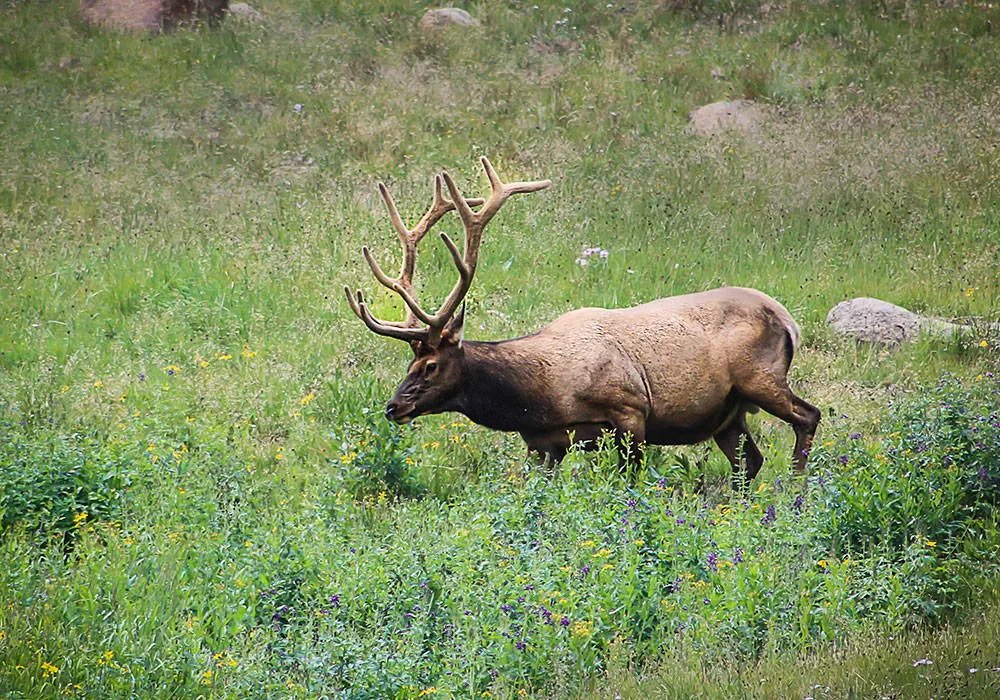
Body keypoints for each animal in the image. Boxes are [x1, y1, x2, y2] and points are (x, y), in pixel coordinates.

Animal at [346, 158, 820, 482]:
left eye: (429, 366)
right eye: (408, 364)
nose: (393, 407)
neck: (540, 398)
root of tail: (788, 320)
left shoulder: (630, 411)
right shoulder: (544, 444)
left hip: (761, 377)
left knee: (808, 416)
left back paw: (795, 488)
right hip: (728, 414)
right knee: (750, 461)